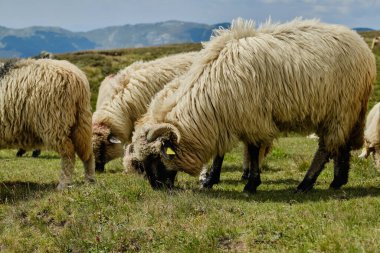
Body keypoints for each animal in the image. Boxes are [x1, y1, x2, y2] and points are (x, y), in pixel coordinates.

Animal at [0, 57, 95, 188]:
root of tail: (78, 77)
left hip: (54, 123)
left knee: (69, 154)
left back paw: (63, 184)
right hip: (81, 121)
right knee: (87, 153)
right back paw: (90, 180)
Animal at [126, 18, 376, 194]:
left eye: (156, 157)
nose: (157, 188)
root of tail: (362, 45)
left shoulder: (250, 116)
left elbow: (253, 149)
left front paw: (251, 184)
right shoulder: (228, 117)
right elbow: (222, 152)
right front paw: (211, 179)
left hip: (340, 108)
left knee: (326, 147)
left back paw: (306, 183)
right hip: (346, 112)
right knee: (341, 145)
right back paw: (338, 180)